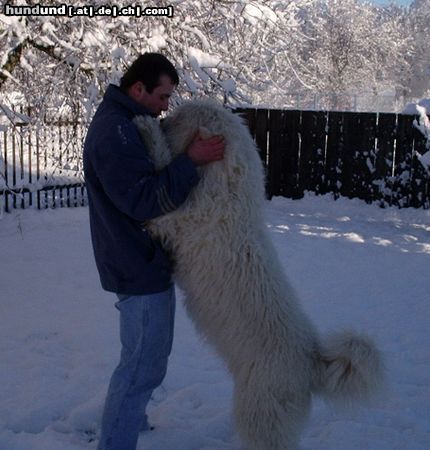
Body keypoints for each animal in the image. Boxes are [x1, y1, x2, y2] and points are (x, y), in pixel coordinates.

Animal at [134, 100, 382, 450]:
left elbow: (159, 162)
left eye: (181, 117)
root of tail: (311, 363)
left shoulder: (176, 217)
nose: (162, 118)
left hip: (260, 413)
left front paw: (145, 128)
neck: (227, 187)